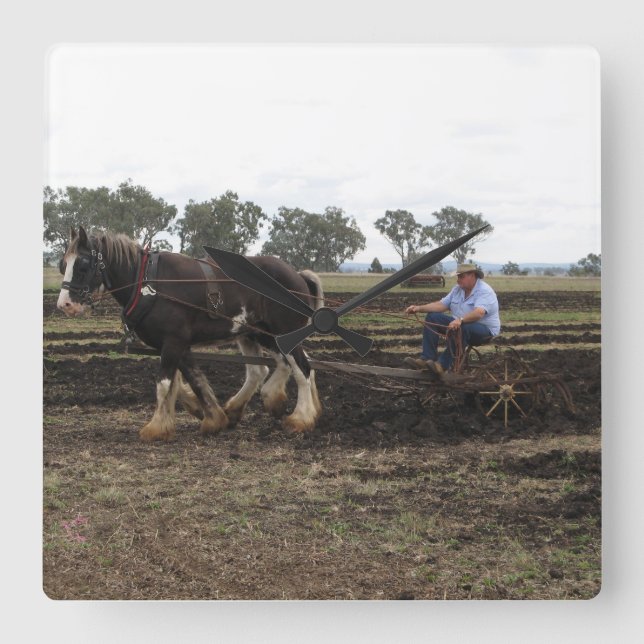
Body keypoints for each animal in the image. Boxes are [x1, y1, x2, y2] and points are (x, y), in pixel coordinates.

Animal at [56, 227, 324, 441]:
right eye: (62, 265)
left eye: (82, 265)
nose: (64, 305)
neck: (148, 283)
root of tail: (297, 274)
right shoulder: (176, 344)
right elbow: (190, 381)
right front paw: (211, 416)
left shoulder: (174, 341)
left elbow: (164, 384)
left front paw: (156, 428)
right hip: (257, 334)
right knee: (269, 369)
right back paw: (257, 404)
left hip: (284, 331)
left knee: (301, 368)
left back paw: (300, 418)